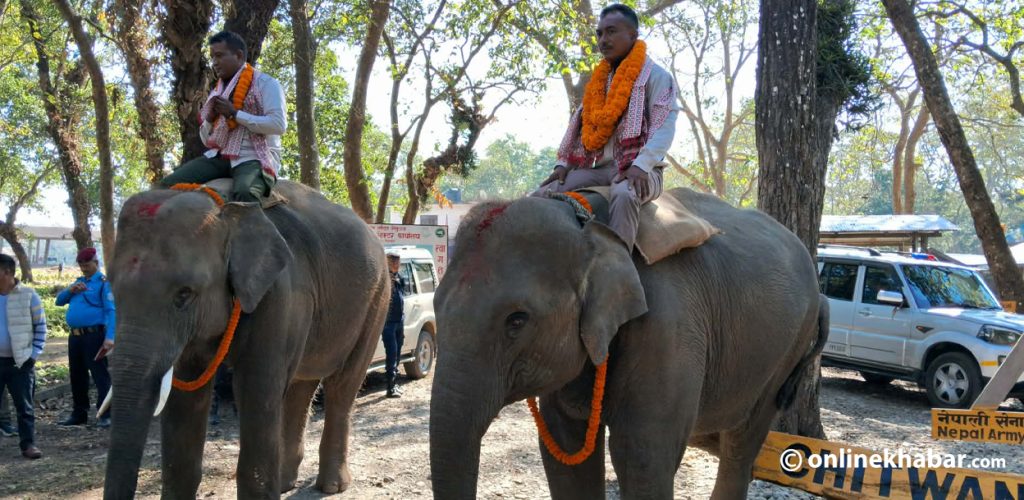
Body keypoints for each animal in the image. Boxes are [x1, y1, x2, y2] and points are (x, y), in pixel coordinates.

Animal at [102, 180, 390, 499]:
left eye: (184, 295)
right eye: (111, 289)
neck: (226, 209)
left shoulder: (280, 294)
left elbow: (256, 388)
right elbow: (186, 397)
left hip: (377, 299)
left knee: (343, 384)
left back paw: (331, 486)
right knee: (301, 387)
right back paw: (286, 482)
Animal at [429, 187, 828, 499]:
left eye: (517, 320)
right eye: (435, 303)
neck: (591, 226)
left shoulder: (668, 326)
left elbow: (642, 456)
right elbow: (566, 451)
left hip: (787, 352)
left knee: (741, 443)